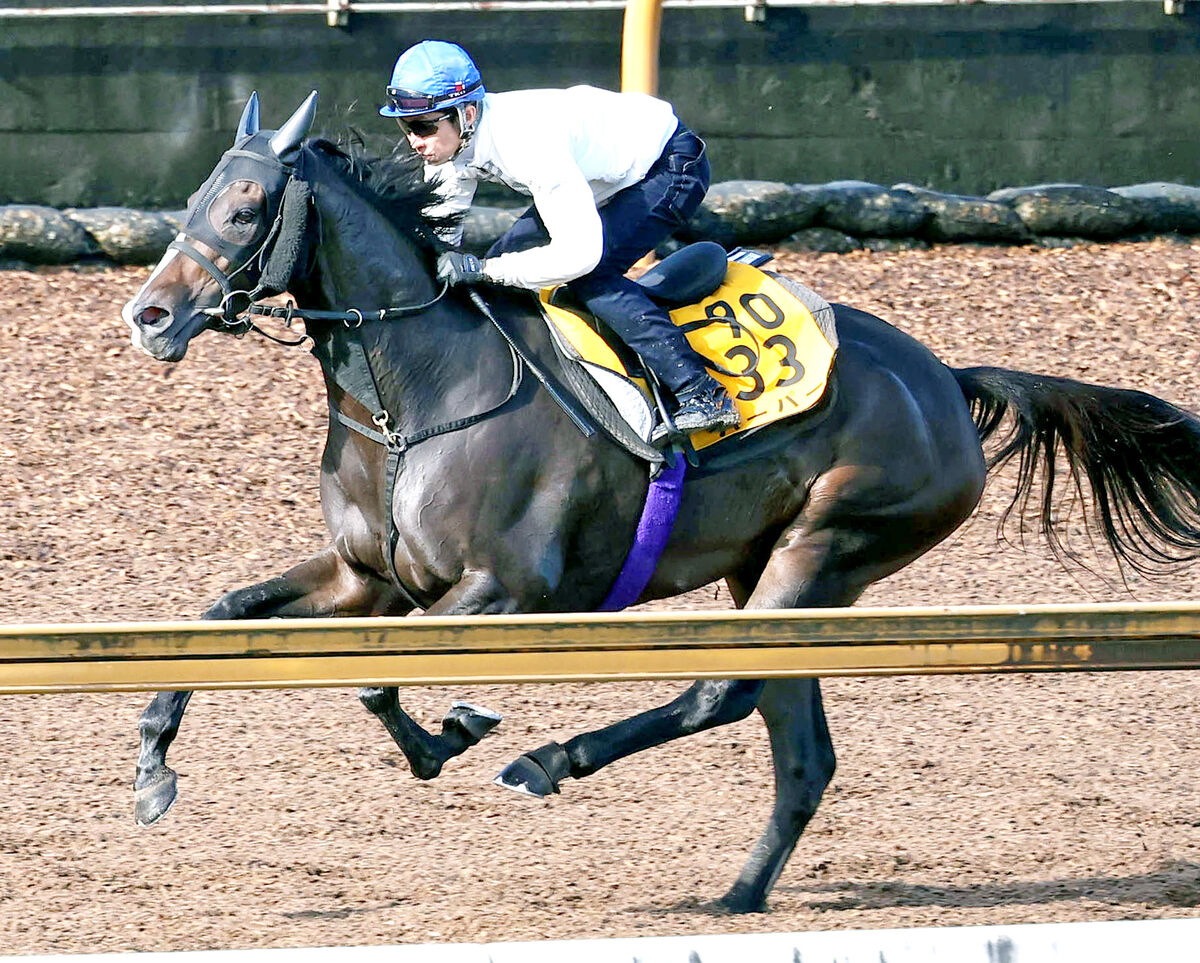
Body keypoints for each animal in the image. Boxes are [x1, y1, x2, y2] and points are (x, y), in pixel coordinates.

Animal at [124, 93, 1200, 912]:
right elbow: (220, 616)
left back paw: (549, 761)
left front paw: (456, 731)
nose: (148, 315)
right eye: (196, 198)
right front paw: (152, 768)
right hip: (772, 576)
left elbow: (380, 684)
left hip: (827, 545)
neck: (415, 391)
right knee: (798, 749)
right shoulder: (367, 580)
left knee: (723, 693)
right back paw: (737, 895)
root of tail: (943, 377)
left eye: (246, 207)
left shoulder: (510, 588)